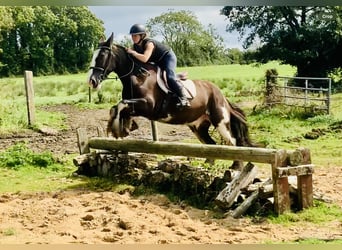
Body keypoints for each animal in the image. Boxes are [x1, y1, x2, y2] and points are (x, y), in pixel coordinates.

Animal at [88, 32, 254, 167]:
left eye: (102, 56)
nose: (92, 81)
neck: (137, 76)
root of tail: (221, 94)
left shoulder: (148, 106)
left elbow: (122, 105)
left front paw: (119, 128)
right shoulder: (135, 105)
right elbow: (117, 108)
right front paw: (124, 127)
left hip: (220, 121)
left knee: (233, 142)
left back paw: (236, 167)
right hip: (198, 126)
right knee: (211, 144)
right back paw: (208, 164)